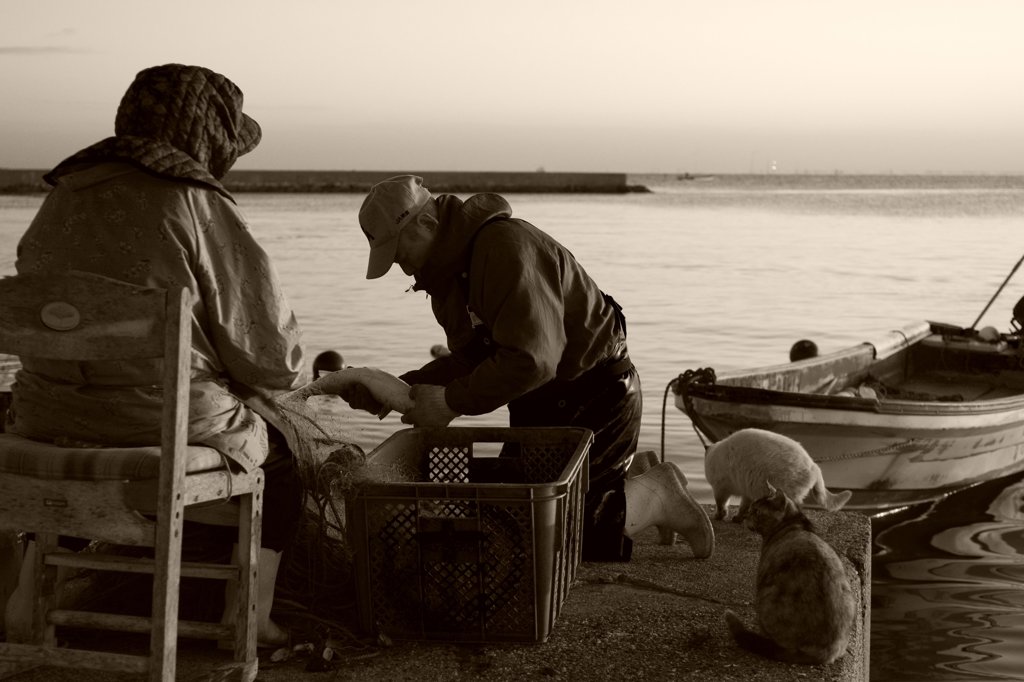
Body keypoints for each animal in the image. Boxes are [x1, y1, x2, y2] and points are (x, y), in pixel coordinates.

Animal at [708, 428, 851, 518]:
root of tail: (815, 466)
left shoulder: (720, 488)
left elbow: (721, 505)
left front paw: (720, 516)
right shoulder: (746, 491)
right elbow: (743, 507)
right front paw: (738, 518)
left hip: (783, 492)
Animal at [724, 477, 860, 663]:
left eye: (756, 511)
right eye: (751, 508)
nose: (745, 516)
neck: (795, 524)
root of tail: (822, 651)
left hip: (766, 596)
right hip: (849, 597)